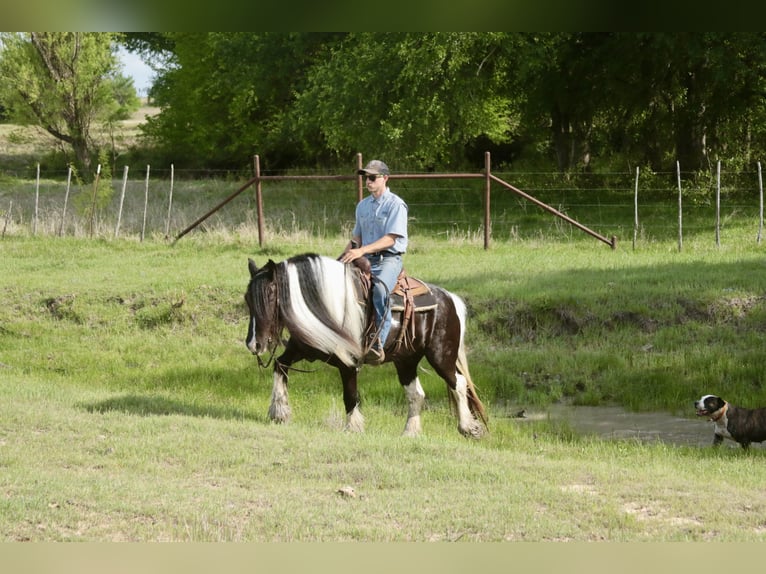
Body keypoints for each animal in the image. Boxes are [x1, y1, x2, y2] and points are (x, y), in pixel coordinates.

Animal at [244, 253, 488, 438]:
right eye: (247, 299)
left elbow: (350, 395)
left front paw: (353, 428)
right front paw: (279, 412)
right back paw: (410, 432)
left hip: (441, 355)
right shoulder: (302, 349)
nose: (253, 343)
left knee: (458, 383)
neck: (323, 306)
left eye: (269, 295)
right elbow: (280, 365)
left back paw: (468, 427)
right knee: (416, 394)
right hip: (406, 361)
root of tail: (449, 298)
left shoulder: (348, 361)